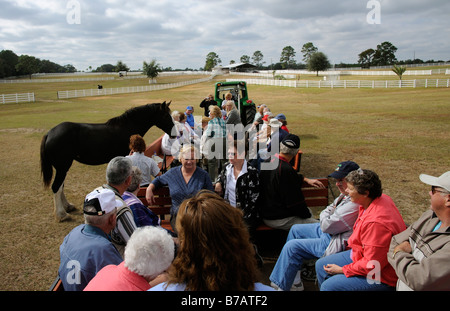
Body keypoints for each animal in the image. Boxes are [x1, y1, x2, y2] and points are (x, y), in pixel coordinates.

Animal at [40, 101, 175, 221]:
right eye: (166, 115)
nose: (174, 134)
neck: (126, 127)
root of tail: (49, 133)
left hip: (63, 167)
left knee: (61, 186)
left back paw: (68, 207)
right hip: (62, 167)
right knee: (56, 187)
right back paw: (62, 215)